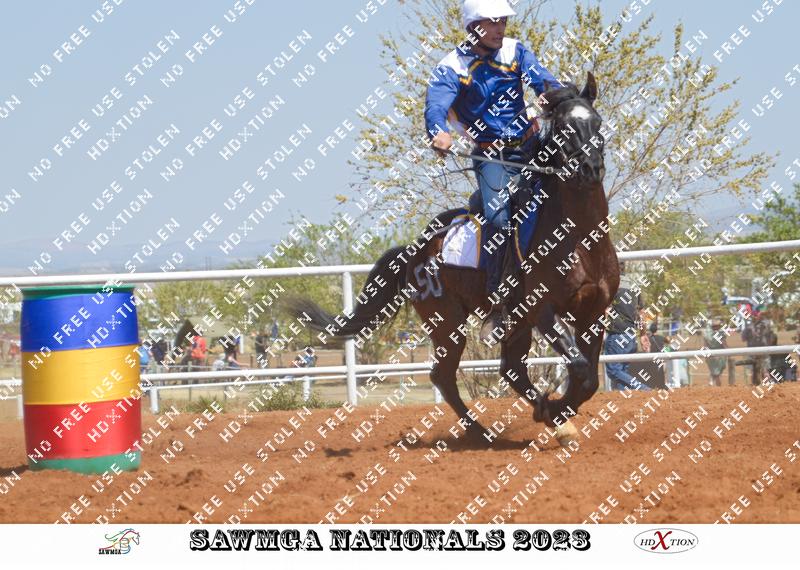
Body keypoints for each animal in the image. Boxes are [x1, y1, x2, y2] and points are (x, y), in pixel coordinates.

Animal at [288, 72, 618, 444]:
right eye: (562, 126)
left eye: (597, 121)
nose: (590, 168)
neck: (579, 239)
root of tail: (414, 252)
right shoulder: (542, 311)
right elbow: (581, 370)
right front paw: (558, 413)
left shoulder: (595, 312)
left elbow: (589, 378)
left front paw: (559, 416)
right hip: (449, 324)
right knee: (445, 377)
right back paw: (482, 434)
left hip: (509, 323)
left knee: (511, 370)